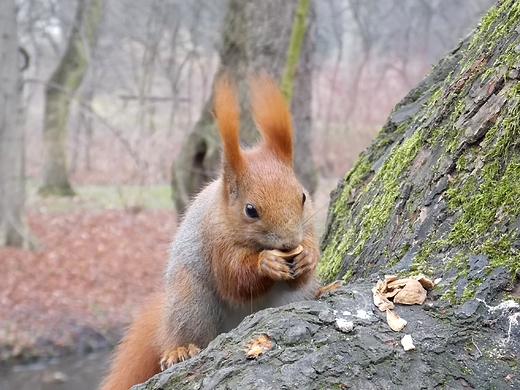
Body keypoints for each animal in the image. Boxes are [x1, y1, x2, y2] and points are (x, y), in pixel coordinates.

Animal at [99, 74, 320, 390]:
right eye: (250, 210)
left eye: (302, 196)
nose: (290, 243)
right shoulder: (214, 240)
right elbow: (234, 279)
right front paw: (266, 263)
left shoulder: (308, 228)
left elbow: (303, 267)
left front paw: (308, 258)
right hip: (191, 301)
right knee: (186, 331)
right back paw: (179, 350)